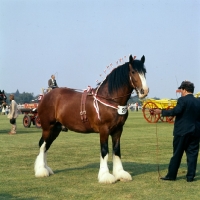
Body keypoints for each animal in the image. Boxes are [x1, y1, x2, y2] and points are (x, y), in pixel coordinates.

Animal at [34, 54, 148, 183]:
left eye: (144, 71)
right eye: (133, 72)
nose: (144, 91)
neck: (109, 99)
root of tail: (45, 96)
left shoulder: (118, 130)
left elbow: (116, 151)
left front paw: (120, 173)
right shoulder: (104, 130)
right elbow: (104, 151)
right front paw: (105, 176)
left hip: (56, 129)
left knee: (46, 146)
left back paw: (46, 169)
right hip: (48, 127)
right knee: (42, 145)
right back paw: (41, 170)